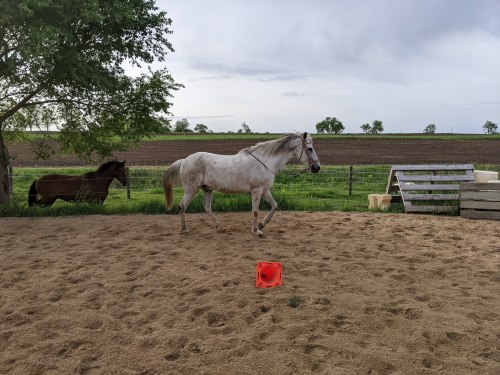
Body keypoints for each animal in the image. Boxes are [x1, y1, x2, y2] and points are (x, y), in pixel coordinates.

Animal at [163, 133, 320, 235]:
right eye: (310, 149)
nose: (317, 168)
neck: (266, 161)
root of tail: (184, 160)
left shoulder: (264, 191)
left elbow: (274, 206)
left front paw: (261, 225)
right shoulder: (256, 191)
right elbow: (255, 211)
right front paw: (256, 230)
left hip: (207, 189)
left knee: (207, 207)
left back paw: (220, 227)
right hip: (191, 189)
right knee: (182, 206)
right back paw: (184, 229)